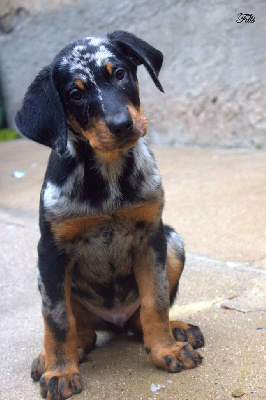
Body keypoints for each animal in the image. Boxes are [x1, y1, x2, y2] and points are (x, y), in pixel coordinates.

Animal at [15, 31, 204, 400]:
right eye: (75, 94)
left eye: (119, 73)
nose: (122, 125)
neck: (109, 172)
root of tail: (113, 321)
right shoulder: (51, 252)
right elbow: (57, 320)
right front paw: (60, 371)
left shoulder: (151, 236)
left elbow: (156, 300)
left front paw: (166, 350)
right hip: (46, 275)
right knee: (79, 332)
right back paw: (51, 358)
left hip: (173, 240)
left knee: (138, 321)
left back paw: (176, 330)